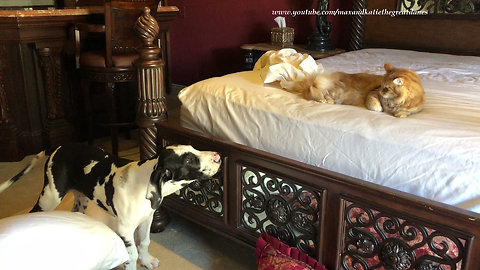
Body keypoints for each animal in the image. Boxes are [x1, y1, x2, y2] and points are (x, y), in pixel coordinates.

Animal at [0, 144, 221, 270]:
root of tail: (57, 148)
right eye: (189, 159)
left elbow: (144, 242)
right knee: (33, 213)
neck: (142, 182)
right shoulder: (125, 230)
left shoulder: (147, 219)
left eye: (193, 149)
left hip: (81, 199)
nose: (218, 156)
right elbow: (131, 256)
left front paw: (147, 261)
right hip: (50, 197)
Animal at [284, 64, 426, 118]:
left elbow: (406, 112)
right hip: (328, 89)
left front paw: (400, 114)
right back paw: (325, 100)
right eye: (380, 86)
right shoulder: (372, 94)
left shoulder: (415, 109)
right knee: (317, 93)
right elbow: (374, 104)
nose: (381, 91)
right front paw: (380, 108)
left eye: (386, 88)